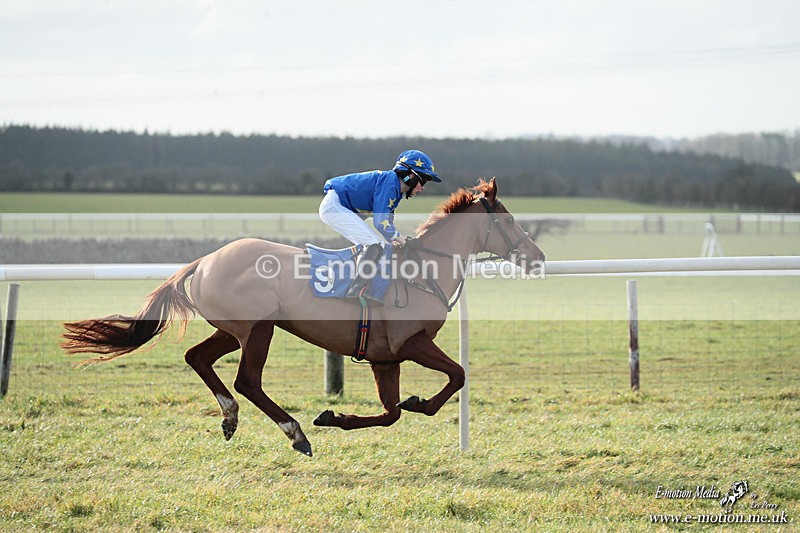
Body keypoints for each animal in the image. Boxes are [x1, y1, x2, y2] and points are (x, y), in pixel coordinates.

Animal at [62, 178, 545, 457]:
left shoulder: (385, 357)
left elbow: (390, 413)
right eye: (509, 221)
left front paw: (335, 417)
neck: (424, 269)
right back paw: (294, 433)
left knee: (197, 358)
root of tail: (202, 262)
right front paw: (419, 402)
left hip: (235, 329)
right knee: (247, 381)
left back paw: (231, 417)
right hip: (258, 328)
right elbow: (456, 376)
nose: (538, 257)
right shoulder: (412, 343)